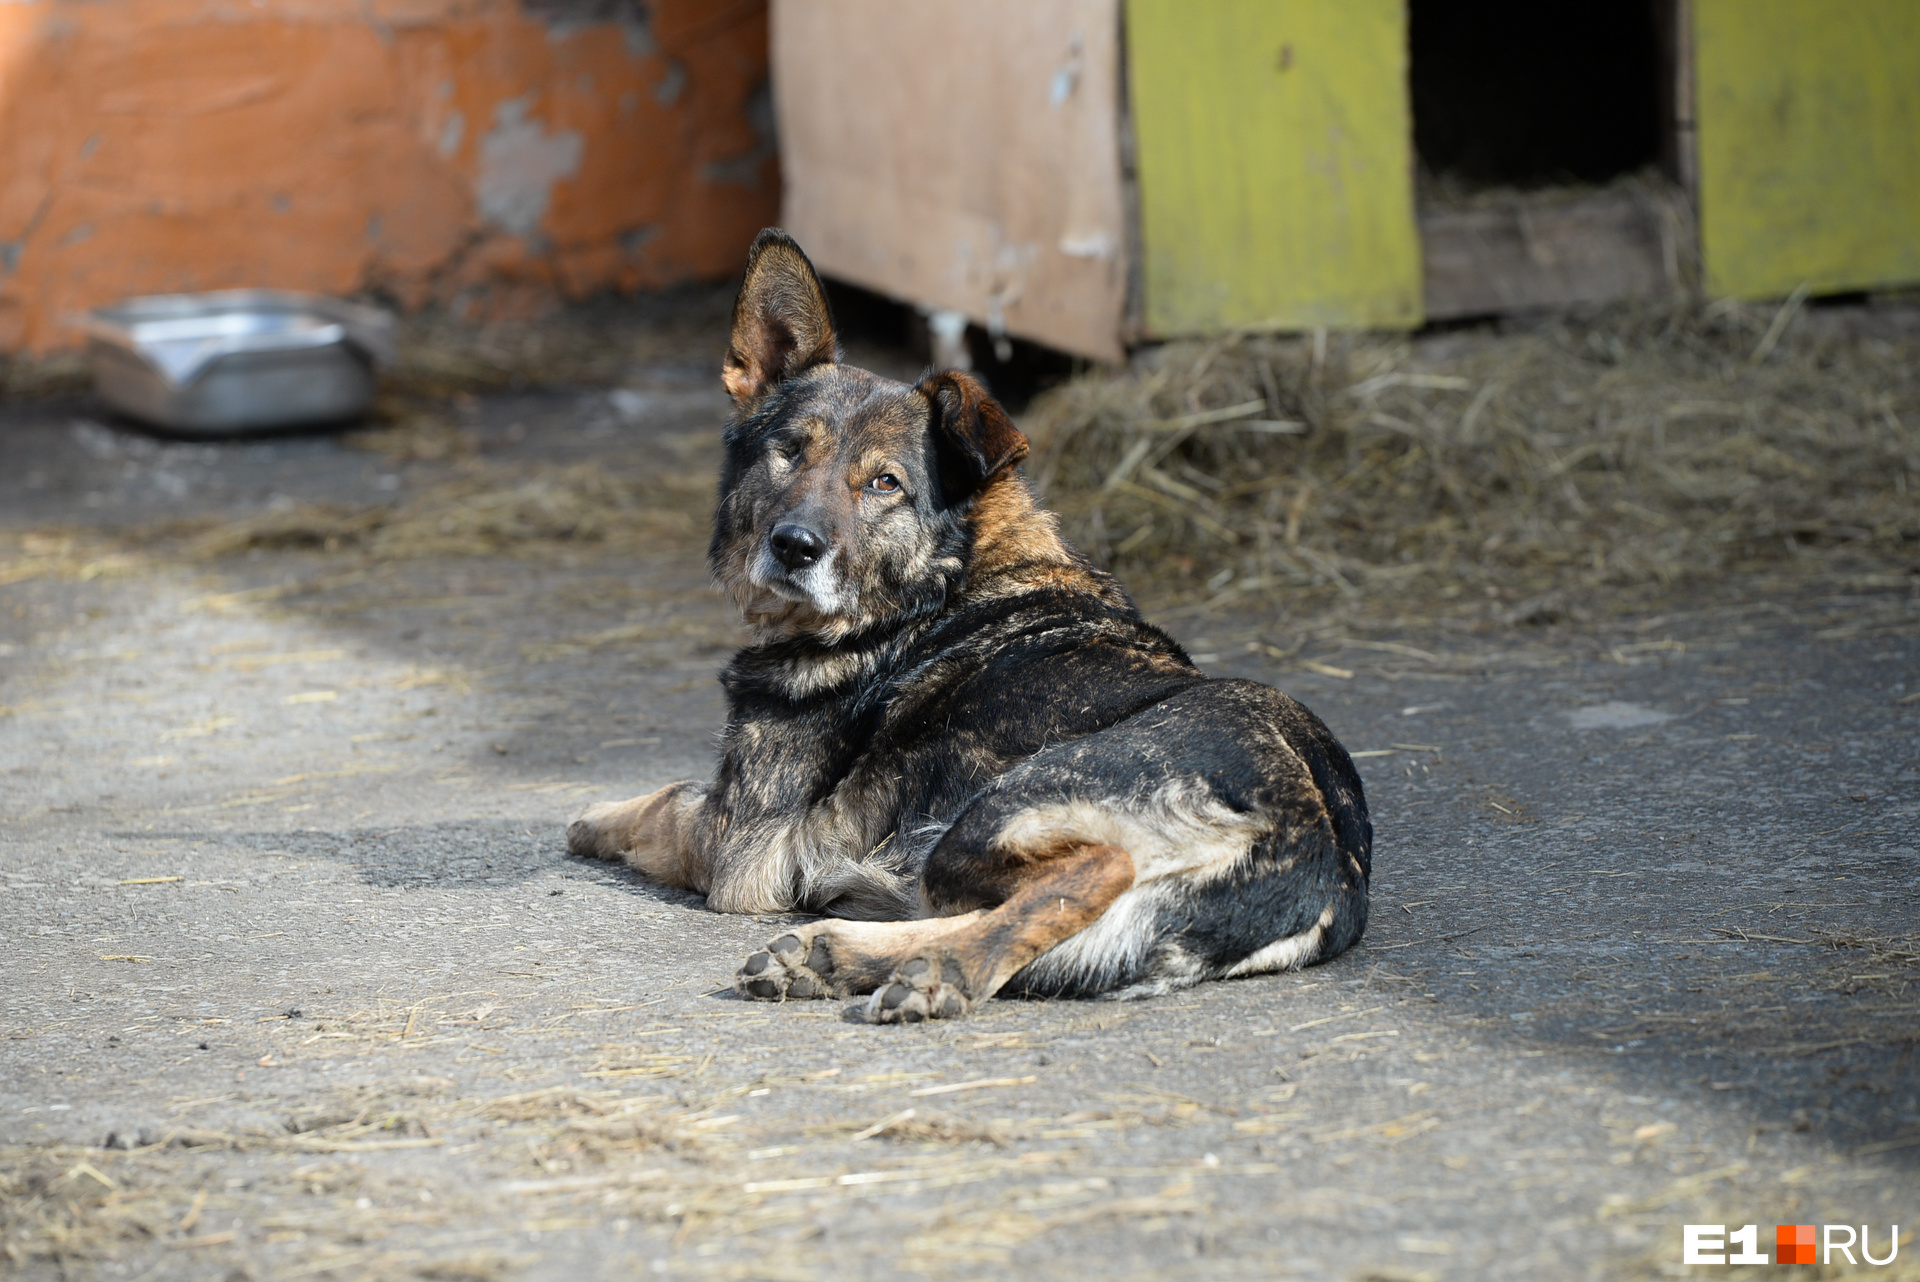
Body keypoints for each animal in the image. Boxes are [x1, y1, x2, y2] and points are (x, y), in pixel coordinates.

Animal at [560, 230, 1374, 1028]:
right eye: (788, 451)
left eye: (884, 483)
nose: (793, 547)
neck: (938, 581)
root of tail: (1321, 845)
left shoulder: (738, 842)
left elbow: (665, 801)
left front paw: (591, 817)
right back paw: (838, 954)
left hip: (997, 813)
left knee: (1096, 869)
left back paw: (935, 971)